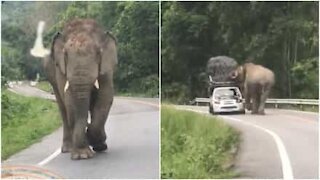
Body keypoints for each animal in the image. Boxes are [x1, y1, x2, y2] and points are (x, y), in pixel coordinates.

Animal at [29, 19, 117, 160]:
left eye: (98, 53)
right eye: (65, 54)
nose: (86, 129)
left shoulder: (107, 67)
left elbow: (105, 97)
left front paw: (95, 144)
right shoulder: (60, 69)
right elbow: (70, 100)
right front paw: (82, 155)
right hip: (52, 78)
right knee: (63, 108)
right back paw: (68, 149)